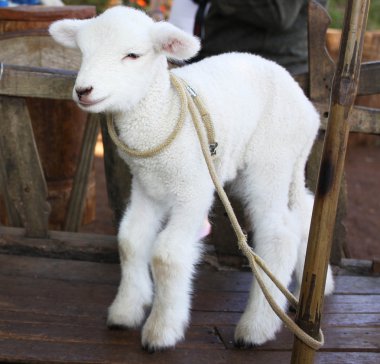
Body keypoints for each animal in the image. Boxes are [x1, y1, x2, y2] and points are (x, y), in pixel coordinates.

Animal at [49, 4, 334, 352]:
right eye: (82, 52)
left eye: (132, 55)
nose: (83, 91)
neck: (163, 113)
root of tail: (308, 109)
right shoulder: (147, 185)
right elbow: (130, 240)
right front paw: (126, 310)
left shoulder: (193, 189)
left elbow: (166, 255)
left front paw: (161, 330)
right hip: (275, 165)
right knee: (305, 209)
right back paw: (317, 288)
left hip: (270, 161)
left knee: (279, 236)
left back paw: (256, 327)